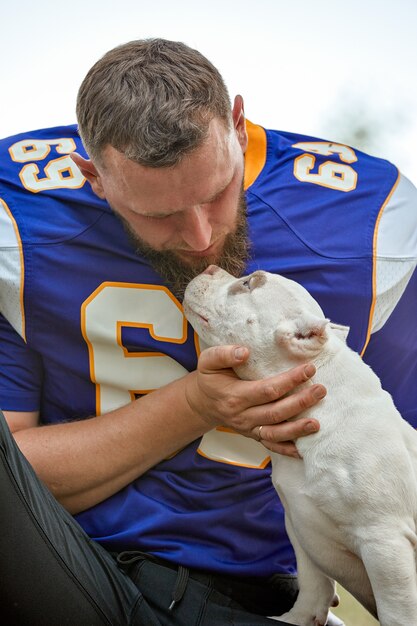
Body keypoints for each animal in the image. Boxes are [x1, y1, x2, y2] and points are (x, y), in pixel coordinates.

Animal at [184, 264, 416, 624]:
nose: (210, 267)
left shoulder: (386, 540)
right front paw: (294, 618)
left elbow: (397, 610)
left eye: (248, 284)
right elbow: (313, 584)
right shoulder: (299, 523)